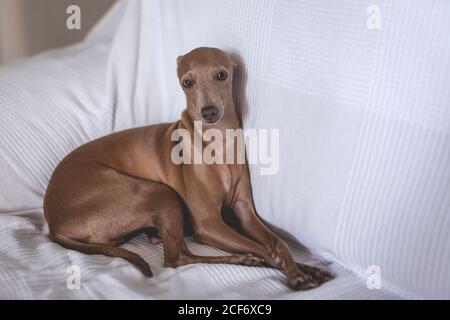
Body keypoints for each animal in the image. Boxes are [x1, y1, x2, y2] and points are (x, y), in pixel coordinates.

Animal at [44, 47, 332, 290]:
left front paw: (303, 268)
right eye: (187, 82)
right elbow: (266, 250)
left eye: (221, 75)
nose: (209, 112)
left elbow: (277, 243)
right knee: (176, 258)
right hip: (158, 193)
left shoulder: (245, 212)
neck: (218, 144)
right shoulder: (209, 224)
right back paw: (241, 259)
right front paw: (294, 272)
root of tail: (53, 222)